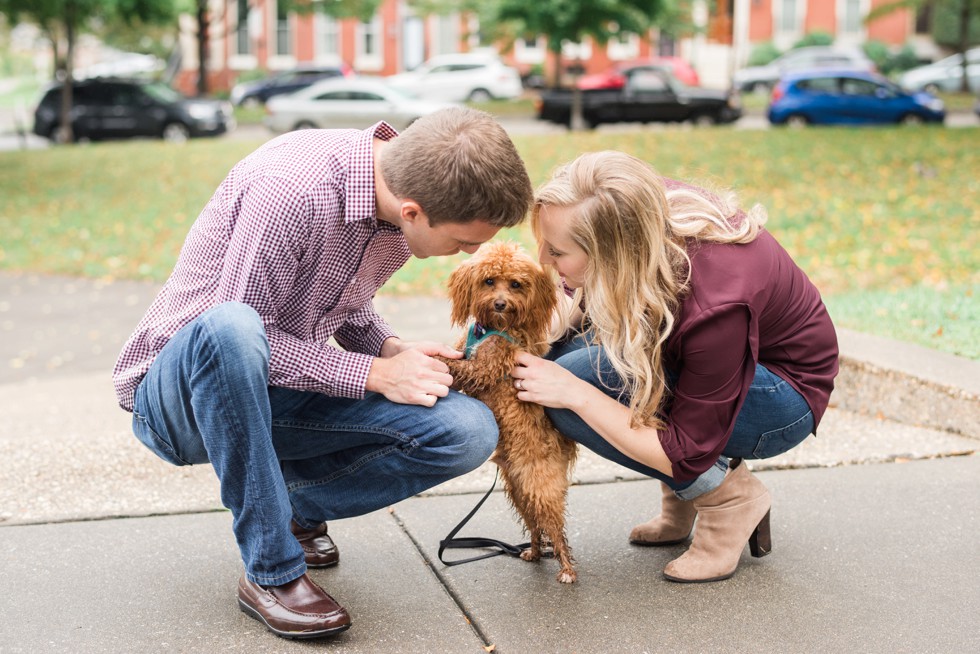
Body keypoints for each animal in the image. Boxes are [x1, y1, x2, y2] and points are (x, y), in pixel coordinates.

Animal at [440, 241, 580, 584]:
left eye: (516, 284)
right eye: (489, 281)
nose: (501, 303)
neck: (491, 329)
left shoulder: (485, 368)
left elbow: (457, 366)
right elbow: (454, 361)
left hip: (540, 489)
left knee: (555, 529)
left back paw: (567, 569)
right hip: (520, 492)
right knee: (535, 526)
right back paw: (533, 552)